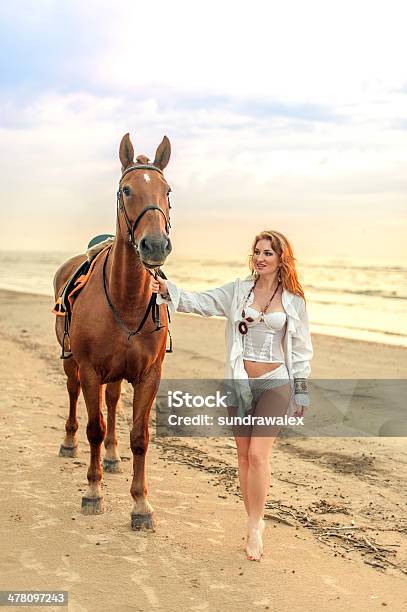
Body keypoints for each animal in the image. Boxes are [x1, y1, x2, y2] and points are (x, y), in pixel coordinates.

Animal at [53, 134, 172, 532]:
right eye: (126, 190)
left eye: (167, 190)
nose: (155, 245)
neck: (126, 298)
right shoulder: (90, 370)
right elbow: (94, 427)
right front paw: (93, 492)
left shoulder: (149, 375)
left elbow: (140, 437)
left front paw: (141, 504)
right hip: (72, 364)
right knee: (75, 396)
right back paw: (69, 443)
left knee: (112, 400)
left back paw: (112, 456)